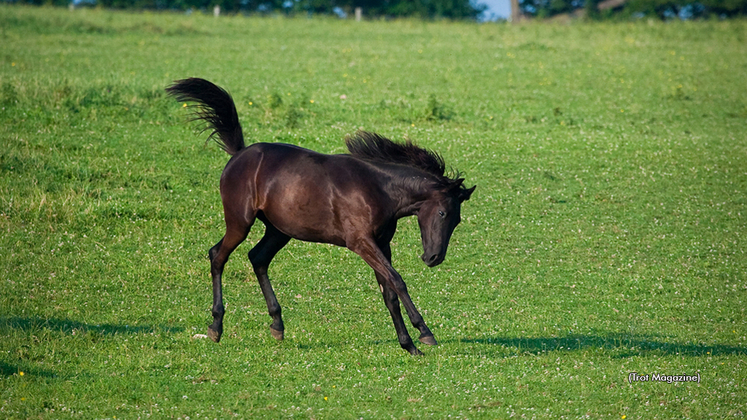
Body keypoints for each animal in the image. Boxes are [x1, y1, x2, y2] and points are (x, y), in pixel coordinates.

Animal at [167, 78, 476, 354]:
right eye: (442, 212)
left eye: (457, 220)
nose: (434, 258)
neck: (378, 188)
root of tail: (239, 154)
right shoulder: (360, 242)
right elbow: (397, 280)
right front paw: (424, 332)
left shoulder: (381, 244)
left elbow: (389, 291)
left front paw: (409, 345)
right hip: (240, 222)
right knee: (217, 256)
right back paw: (216, 326)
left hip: (279, 230)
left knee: (258, 258)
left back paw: (277, 325)